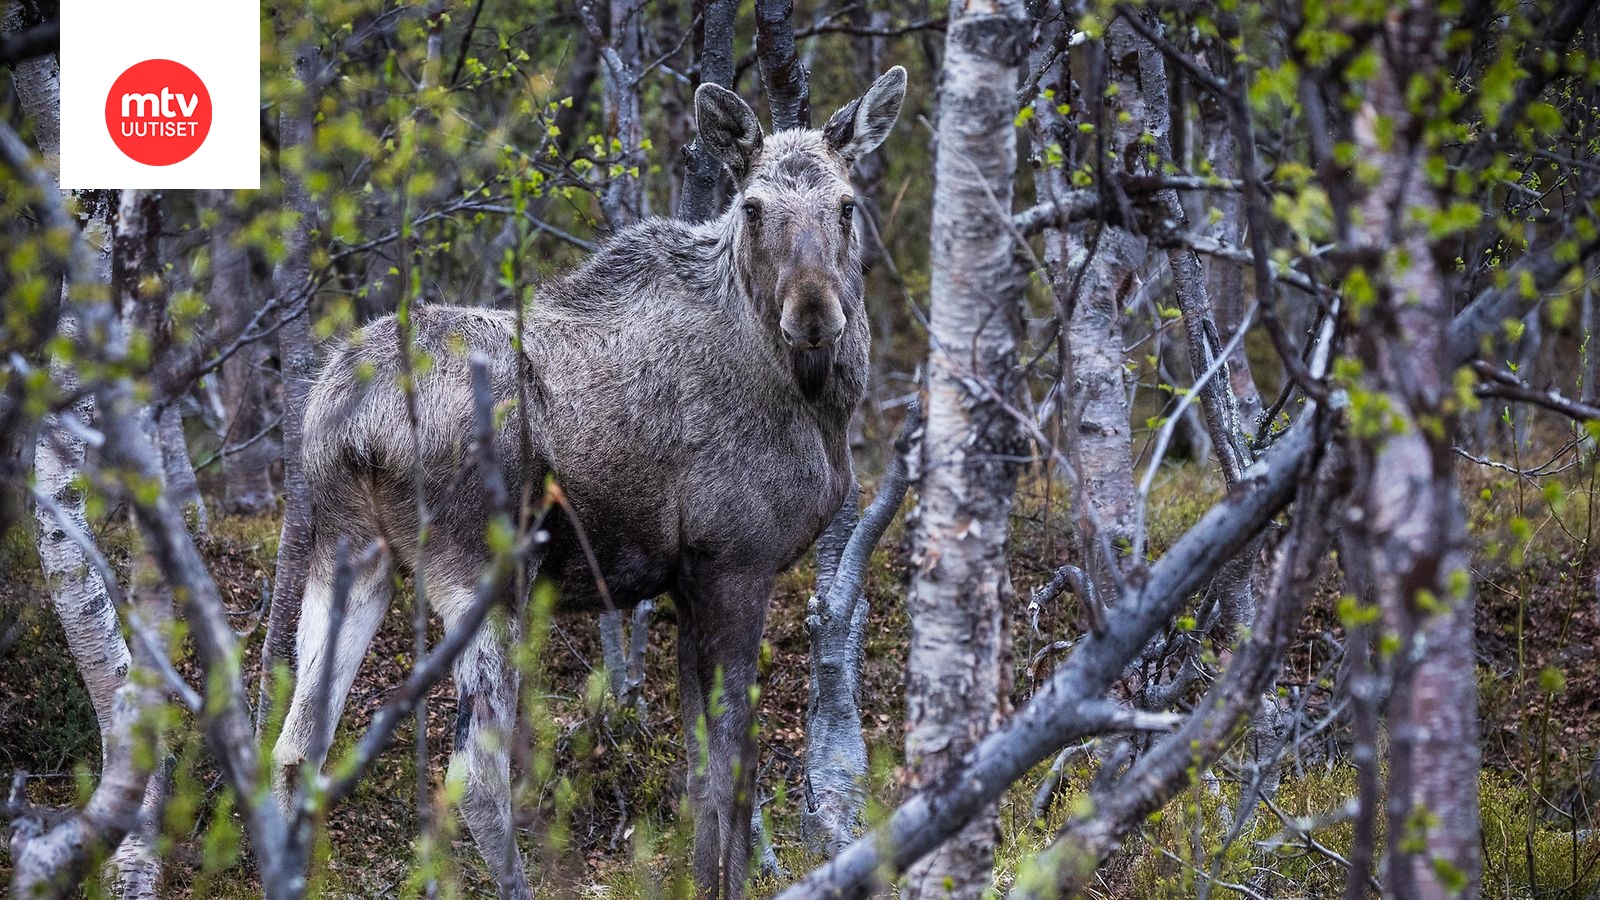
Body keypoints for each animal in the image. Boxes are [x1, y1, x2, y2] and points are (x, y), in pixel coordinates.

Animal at [268, 66, 908, 890]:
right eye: (754, 207)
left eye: (846, 204)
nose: (815, 315)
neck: (817, 406)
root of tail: (351, 427)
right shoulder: (737, 561)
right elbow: (736, 766)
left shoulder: (685, 579)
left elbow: (699, 773)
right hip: (480, 571)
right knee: (473, 776)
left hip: (348, 552)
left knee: (296, 748)